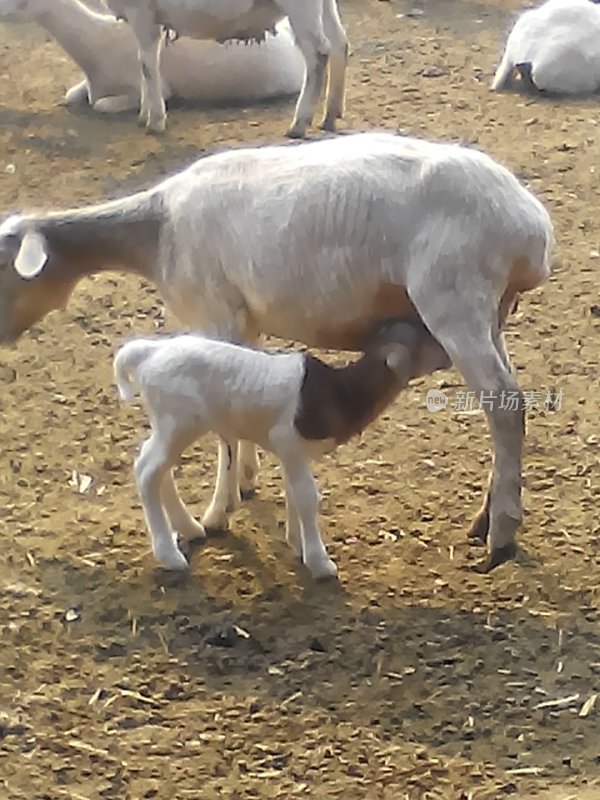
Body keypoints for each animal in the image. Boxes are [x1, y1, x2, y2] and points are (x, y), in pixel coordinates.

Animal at [113, 322, 446, 580]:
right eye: (424, 338)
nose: (448, 352)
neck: (340, 391)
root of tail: (148, 352)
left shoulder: (291, 452)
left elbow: (294, 493)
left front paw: (298, 544)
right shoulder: (287, 439)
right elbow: (307, 496)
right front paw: (320, 562)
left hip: (169, 425)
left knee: (157, 467)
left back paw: (190, 528)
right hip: (179, 420)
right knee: (147, 470)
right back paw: (169, 555)